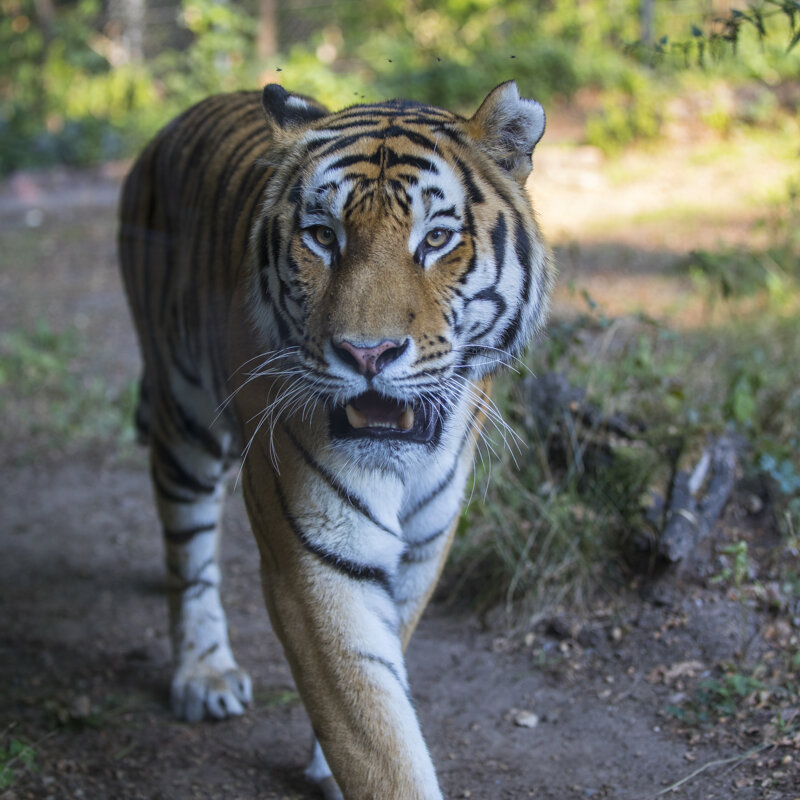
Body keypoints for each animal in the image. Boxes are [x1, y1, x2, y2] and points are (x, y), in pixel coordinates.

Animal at [118, 81, 552, 799]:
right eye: (323, 236)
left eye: (437, 238)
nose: (366, 353)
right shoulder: (316, 559)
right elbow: (376, 735)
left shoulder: (426, 544)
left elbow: (383, 672)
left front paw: (326, 757)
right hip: (183, 416)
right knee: (189, 551)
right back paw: (203, 673)